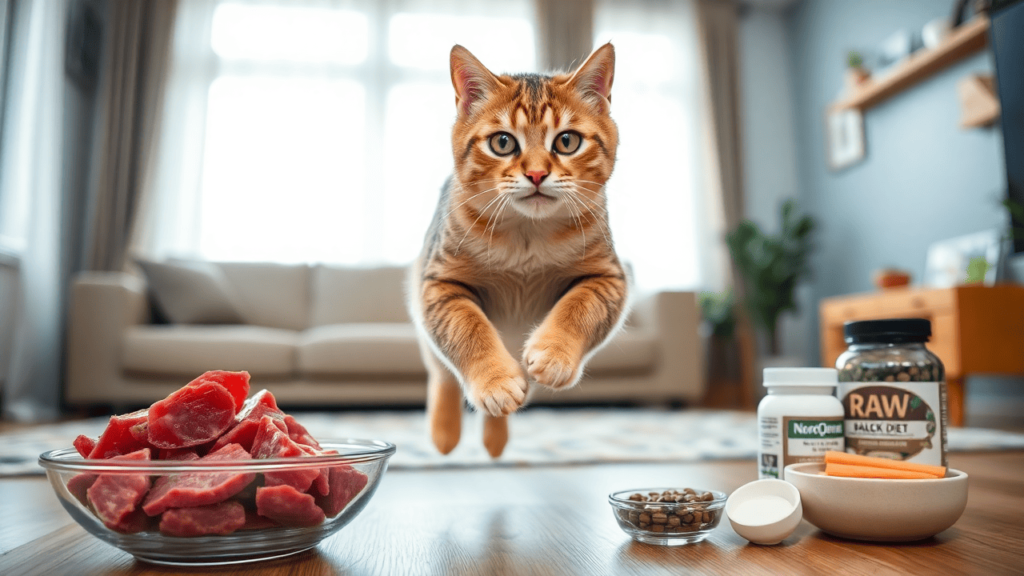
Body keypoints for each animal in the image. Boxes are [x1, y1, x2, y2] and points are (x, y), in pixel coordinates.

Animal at [405, 43, 626, 457]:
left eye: (567, 141)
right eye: (503, 142)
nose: (537, 174)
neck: (527, 235)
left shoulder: (609, 277)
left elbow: (579, 308)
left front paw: (555, 355)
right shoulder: (439, 284)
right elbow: (468, 328)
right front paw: (493, 382)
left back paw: (496, 438)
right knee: (443, 376)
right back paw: (446, 434)